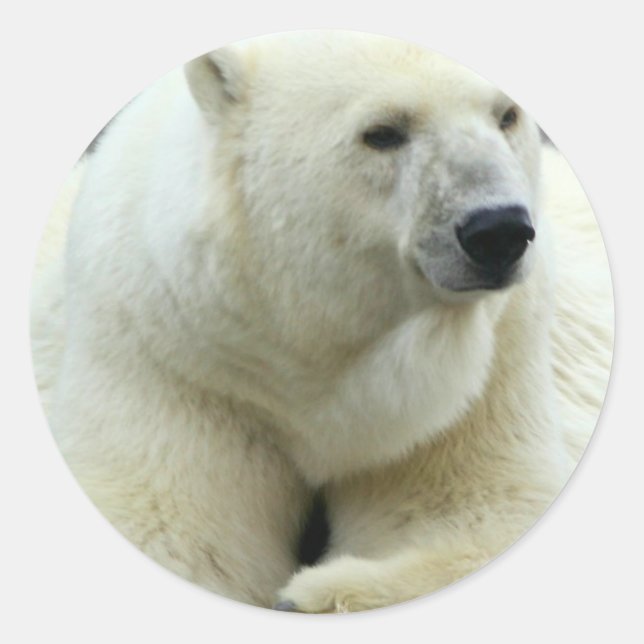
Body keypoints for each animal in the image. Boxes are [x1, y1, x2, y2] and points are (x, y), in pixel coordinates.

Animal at [30, 31, 613, 612]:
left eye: (506, 115)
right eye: (383, 132)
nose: (498, 231)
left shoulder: (490, 366)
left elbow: (479, 514)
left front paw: (314, 592)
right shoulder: (171, 354)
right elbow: (173, 532)